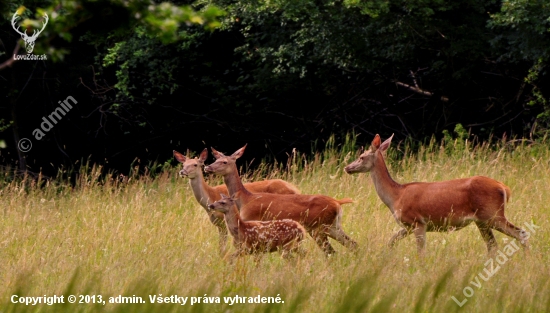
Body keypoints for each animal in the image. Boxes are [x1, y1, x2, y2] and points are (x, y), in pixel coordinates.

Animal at [205, 145, 360, 255]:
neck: (244, 199)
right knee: (352, 244)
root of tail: (338, 203)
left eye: (224, 162)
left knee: (330, 251)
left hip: (319, 227)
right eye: (215, 159)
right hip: (333, 226)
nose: (207, 167)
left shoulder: (251, 220)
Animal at [344, 133, 532, 254]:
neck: (396, 197)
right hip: (482, 221)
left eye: (361, 156)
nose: (347, 167)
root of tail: (504, 188)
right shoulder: (407, 225)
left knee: (520, 233)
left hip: (492, 213)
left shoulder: (418, 221)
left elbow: (420, 252)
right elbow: (391, 241)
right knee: (492, 245)